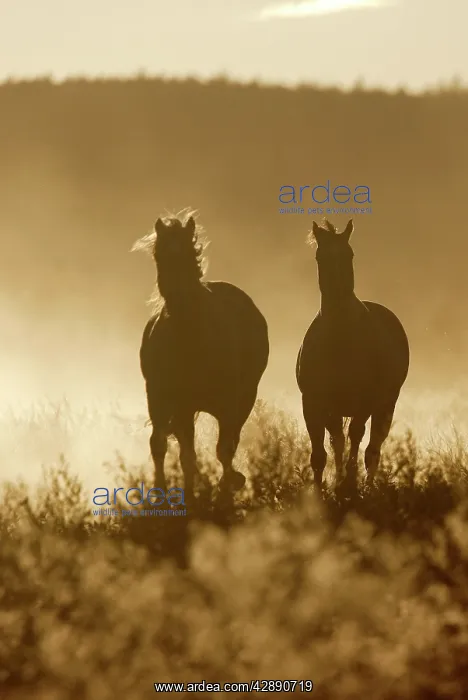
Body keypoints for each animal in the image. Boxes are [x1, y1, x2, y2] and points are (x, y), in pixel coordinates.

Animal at [134, 210, 269, 503]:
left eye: (187, 252)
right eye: (159, 254)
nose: (176, 294)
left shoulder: (232, 402)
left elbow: (224, 449)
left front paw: (229, 486)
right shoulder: (176, 402)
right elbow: (184, 454)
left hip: (239, 400)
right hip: (163, 402)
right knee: (161, 444)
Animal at [296, 218, 409, 495]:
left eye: (350, 254)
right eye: (320, 256)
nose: (339, 292)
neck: (340, 338)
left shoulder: (365, 401)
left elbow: (357, 437)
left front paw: (349, 484)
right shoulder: (312, 402)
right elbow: (320, 453)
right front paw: (322, 491)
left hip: (385, 404)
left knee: (373, 448)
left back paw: (364, 486)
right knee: (338, 440)